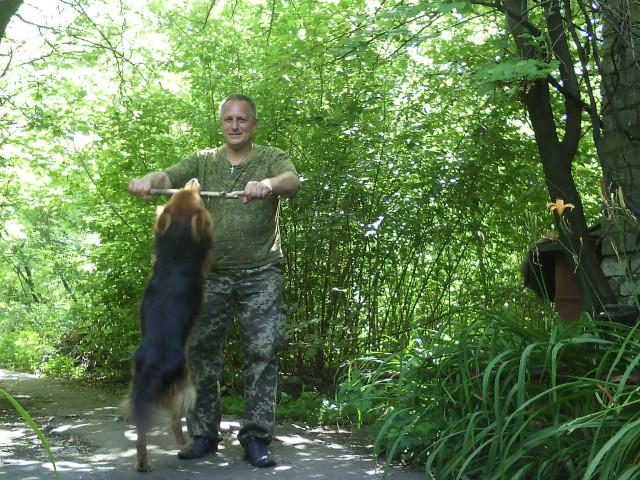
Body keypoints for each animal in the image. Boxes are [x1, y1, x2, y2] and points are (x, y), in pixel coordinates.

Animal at [126, 178, 211, 470]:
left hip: (137, 386)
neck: (178, 241)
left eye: (184, 193)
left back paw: (143, 463)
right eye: (194, 195)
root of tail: (155, 363)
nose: (193, 180)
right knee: (175, 419)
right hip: (186, 386)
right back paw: (184, 443)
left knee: (141, 432)